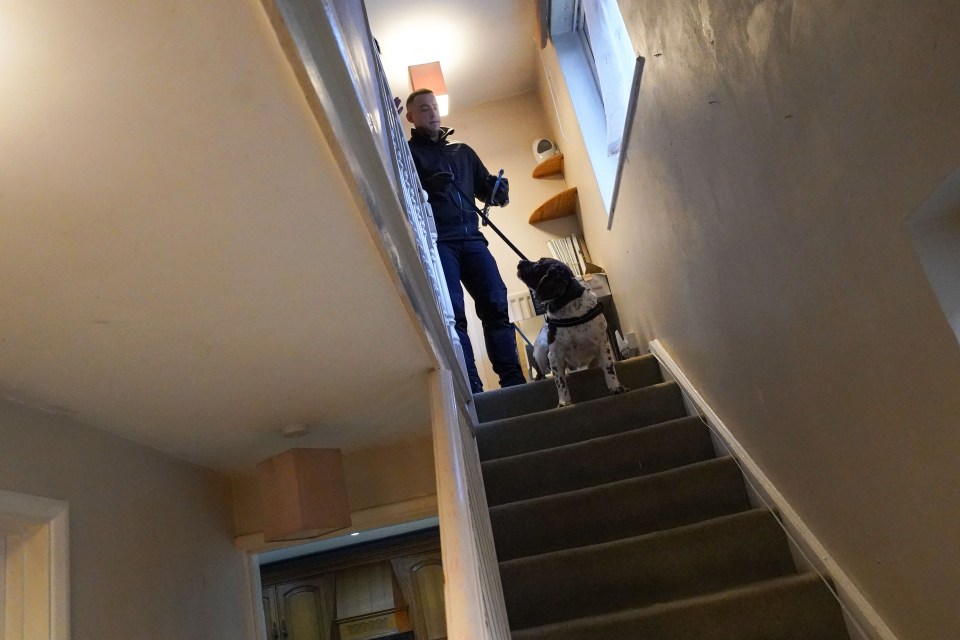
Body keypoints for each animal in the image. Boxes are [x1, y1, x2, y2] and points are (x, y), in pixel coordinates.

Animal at [516, 258, 632, 408]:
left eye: (537, 265)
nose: (520, 261)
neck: (569, 308)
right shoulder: (554, 355)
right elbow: (560, 381)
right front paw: (564, 401)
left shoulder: (603, 345)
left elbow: (609, 368)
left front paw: (616, 387)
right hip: (541, 351)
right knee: (542, 373)